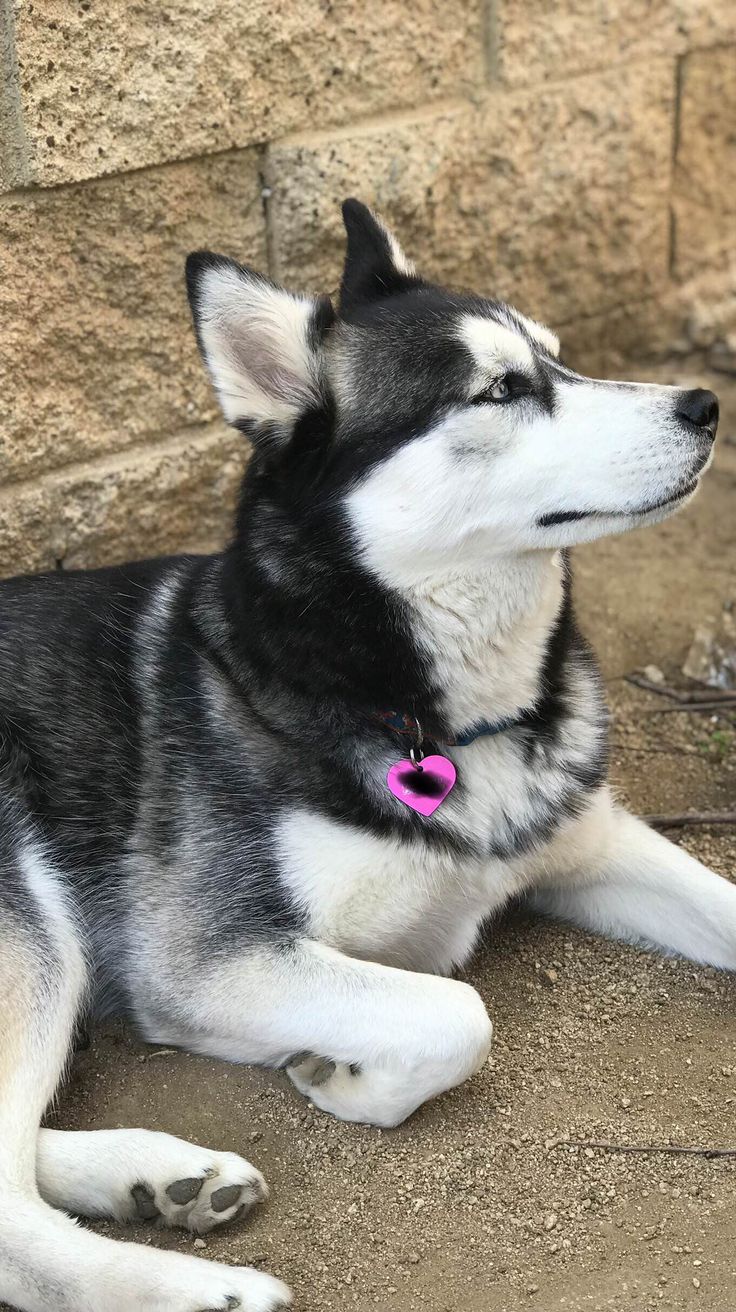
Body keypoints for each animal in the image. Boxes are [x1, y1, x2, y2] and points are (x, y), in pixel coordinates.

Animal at [0, 196, 724, 1312]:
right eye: (500, 389)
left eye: (558, 356)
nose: (704, 404)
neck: (426, 716)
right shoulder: (206, 958)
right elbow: (457, 1013)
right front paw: (342, 1078)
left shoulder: (586, 840)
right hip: (30, 931)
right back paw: (194, 1286)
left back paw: (162, 1179)